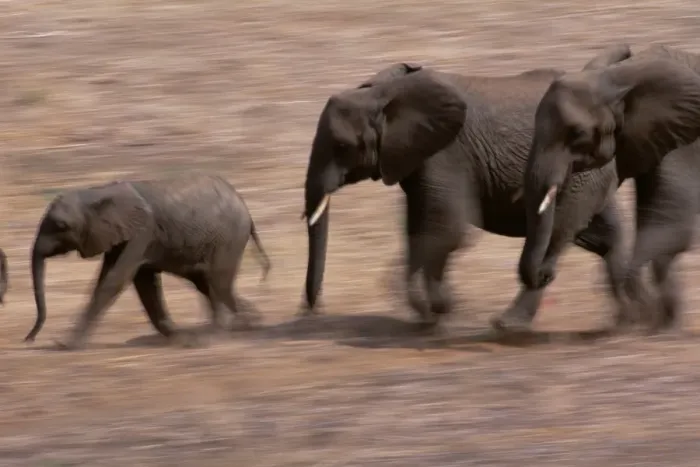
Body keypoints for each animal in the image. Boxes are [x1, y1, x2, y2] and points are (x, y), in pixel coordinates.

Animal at [28, 173, 271, 350]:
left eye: (61, 226)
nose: (28, 339)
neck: (98, 192)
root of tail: (246, 210)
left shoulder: (142, 232)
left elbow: (116, 279)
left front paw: (63, 344)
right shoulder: (121, 236)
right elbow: (143, 283)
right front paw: (180, 338)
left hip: (229, 239)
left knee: (217, 281)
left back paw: (211, 338)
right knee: (207, 282)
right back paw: (247, 322)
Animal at [301, 46, 638, 330]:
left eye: (341, 146)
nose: (312, 311)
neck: (381, 94)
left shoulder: (446, 155)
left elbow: (448, 230)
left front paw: (441, 310)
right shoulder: (416, 159)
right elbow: (417, 230)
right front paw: (428, 313)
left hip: (580, 172)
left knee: (559, 235)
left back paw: (508, 325)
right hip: (589, 173)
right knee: (604, 236)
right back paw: (628, 319)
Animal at [522, 44, 700, 332]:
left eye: (578, 134)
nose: (544, 275)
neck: (620, 77)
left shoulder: (687, 140)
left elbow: (668, 224)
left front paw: (642, 312)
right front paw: (658, 320)